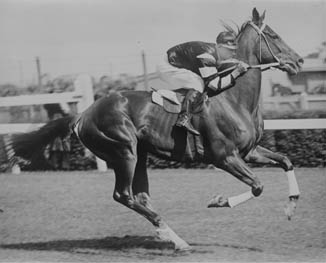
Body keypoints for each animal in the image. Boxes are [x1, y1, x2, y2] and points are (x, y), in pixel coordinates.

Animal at [7, 8, 304, 252]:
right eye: (274, 35)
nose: (299, 61)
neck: (235, 99)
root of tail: (83, 114)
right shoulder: (224, 157)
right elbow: (258, 186)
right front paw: (219, 200)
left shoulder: (249, 151)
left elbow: (286, 161)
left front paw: (291, 206)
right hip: (123, 152)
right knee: (123, 195)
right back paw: (176, 239)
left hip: (139, 154)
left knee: (141, 196)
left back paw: (167, 235)